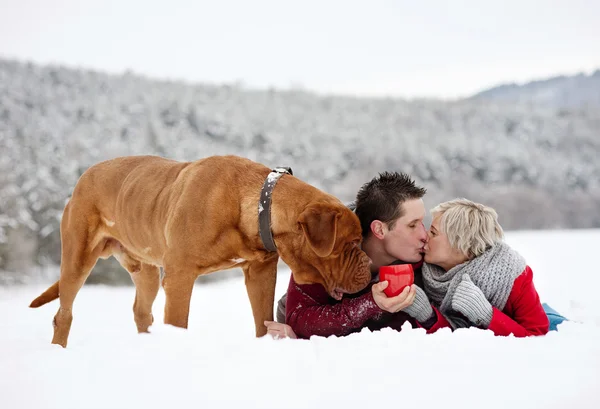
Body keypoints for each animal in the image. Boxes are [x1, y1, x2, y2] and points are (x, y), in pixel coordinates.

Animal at [30, 155, 372, 346]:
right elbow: (178, 320)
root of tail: (84, 175)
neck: (255, 206)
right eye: (352, 242)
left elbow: (261, 319)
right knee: (64, 312)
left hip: (146, 270)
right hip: (77, 257)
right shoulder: (180, 275)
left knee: (142, 310)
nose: (369, 262)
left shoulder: (260, 272)